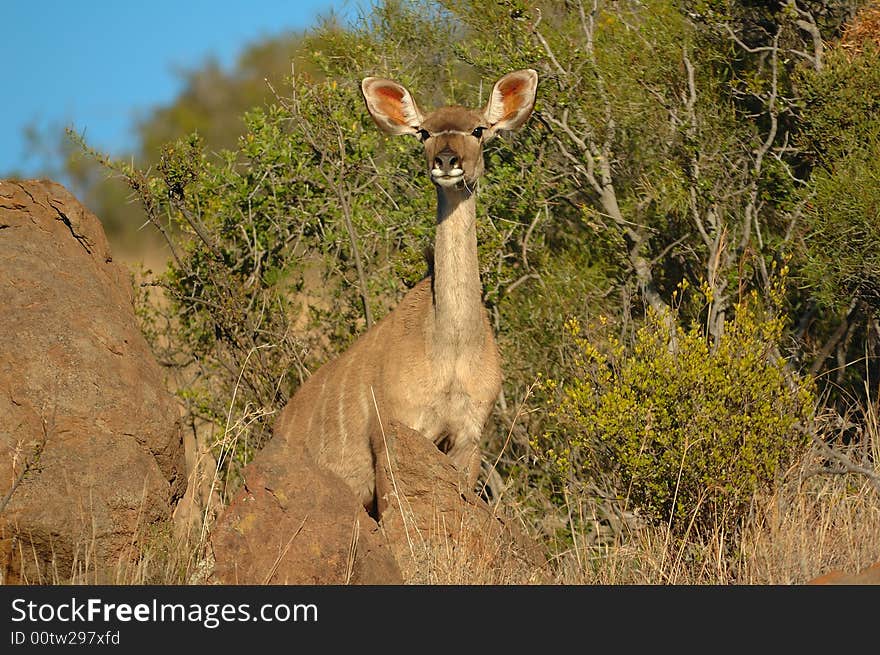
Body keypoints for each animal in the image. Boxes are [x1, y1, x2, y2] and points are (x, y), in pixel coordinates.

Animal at [276, 69, 536, 516]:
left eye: (478, 129)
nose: (446, 161)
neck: (449, 345)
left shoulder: (467, 437)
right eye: (424, 132)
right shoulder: (396, 433)